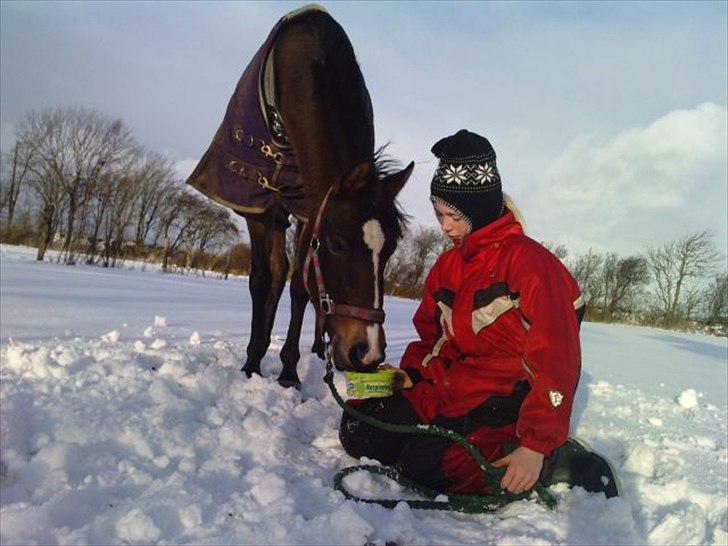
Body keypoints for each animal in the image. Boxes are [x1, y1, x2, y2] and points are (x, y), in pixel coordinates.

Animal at [186, 5, 413, 388]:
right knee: (277, 272)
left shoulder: (310, 210)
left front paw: (289, 372)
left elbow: (301, 288)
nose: (366, 353)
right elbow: (263, 280)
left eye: (390, 250)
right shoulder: (258, 205)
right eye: (337, 244)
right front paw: (252, 362)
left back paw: (319, 349)